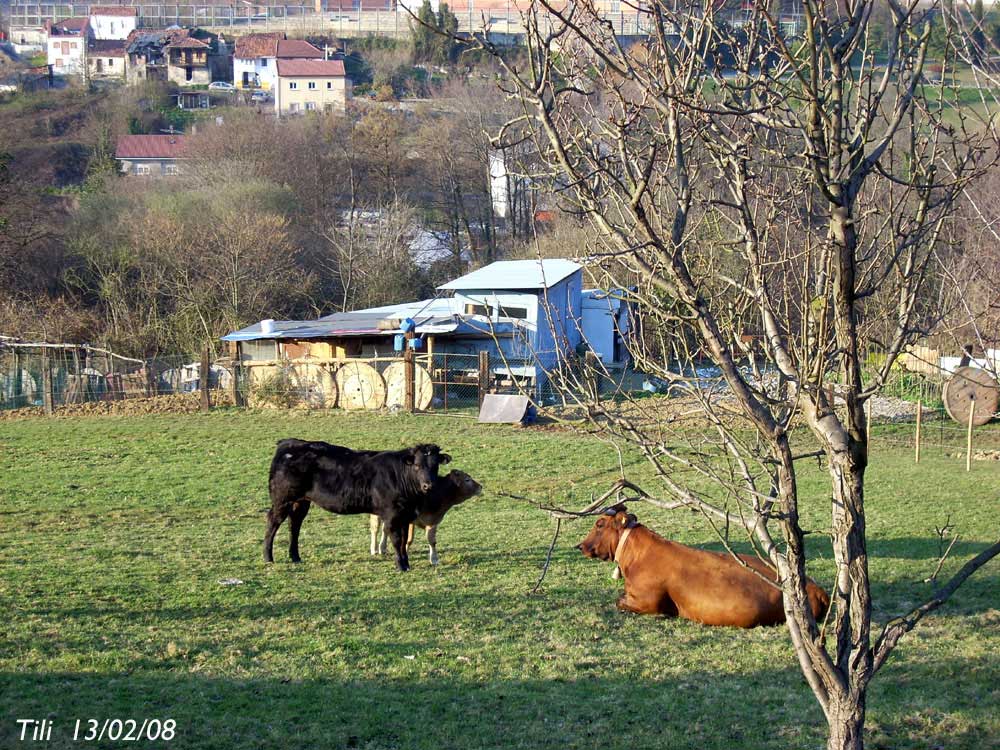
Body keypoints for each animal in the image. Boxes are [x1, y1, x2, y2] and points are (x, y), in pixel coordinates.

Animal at [268, 438, 452, 572]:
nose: (428, 485)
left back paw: (295, 557)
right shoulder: (392, 515)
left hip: (301, 501)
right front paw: (401, 565)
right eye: (417, 465)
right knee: (273, 522)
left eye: (435, 465)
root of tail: (289, 443)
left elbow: (403, 541)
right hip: (282, 499)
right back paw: (268, 557)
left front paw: (406, 563)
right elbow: (396, 540)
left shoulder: (405, 516)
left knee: (294, 524)